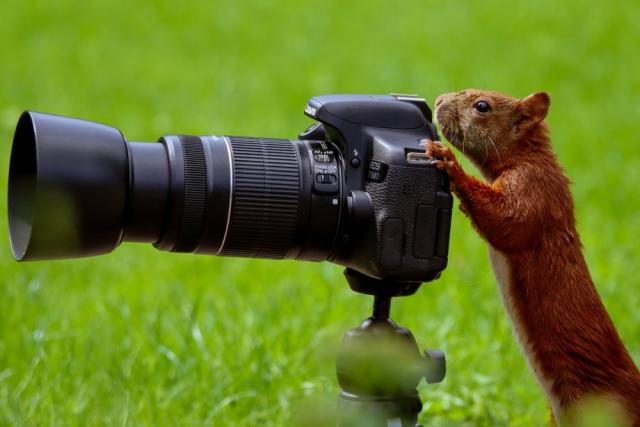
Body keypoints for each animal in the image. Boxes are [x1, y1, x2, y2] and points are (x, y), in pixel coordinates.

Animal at [425, 89, 640, 425]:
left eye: (482, 106)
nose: (439, 101)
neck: (531, 157)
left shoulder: (534, 190)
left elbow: (505, 220)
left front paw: (449, 161)